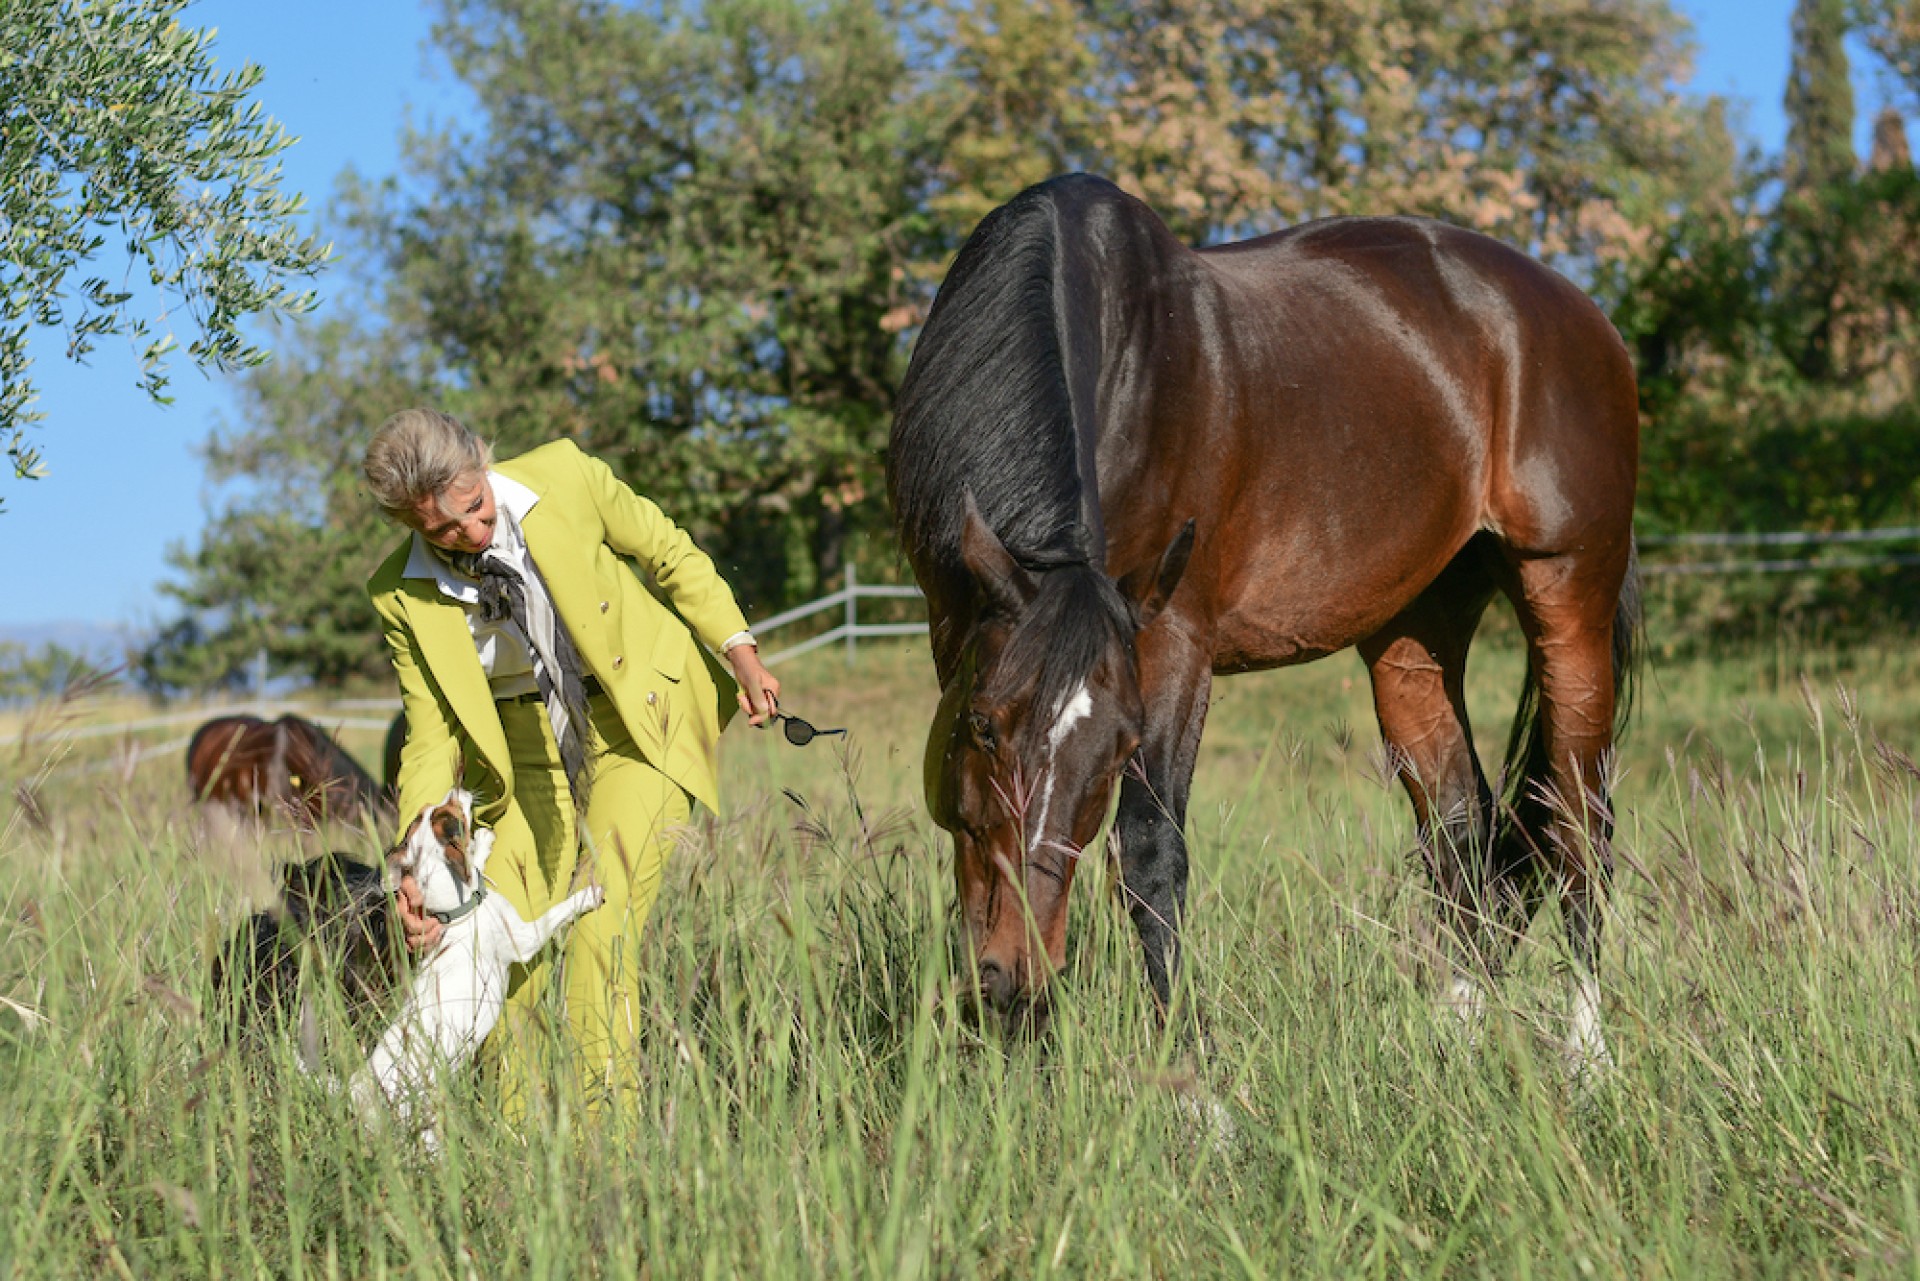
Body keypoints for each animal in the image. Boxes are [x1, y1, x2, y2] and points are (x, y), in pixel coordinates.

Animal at [345, 787, 599, 1144]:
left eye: (434, 808)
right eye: (452, 811)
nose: (456, 788)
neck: (459, 911)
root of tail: (355, 1091)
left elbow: (473, 866)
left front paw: (482, 843)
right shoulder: (524, 939)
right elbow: (556, 913)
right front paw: (588, 895)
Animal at [890, 175, 1643, 1067]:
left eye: (1118, 746)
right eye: (983, 726)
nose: (1016, 984)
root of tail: (1579, 313)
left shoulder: (1171, 640)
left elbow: (1150, 850)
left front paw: (1190, 1071)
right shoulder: (957, 634)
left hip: (1569, 598)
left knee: (1577, 819)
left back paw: (1588, 1054)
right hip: (1415, 632)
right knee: (1463, 828)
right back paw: (1455, 1045)